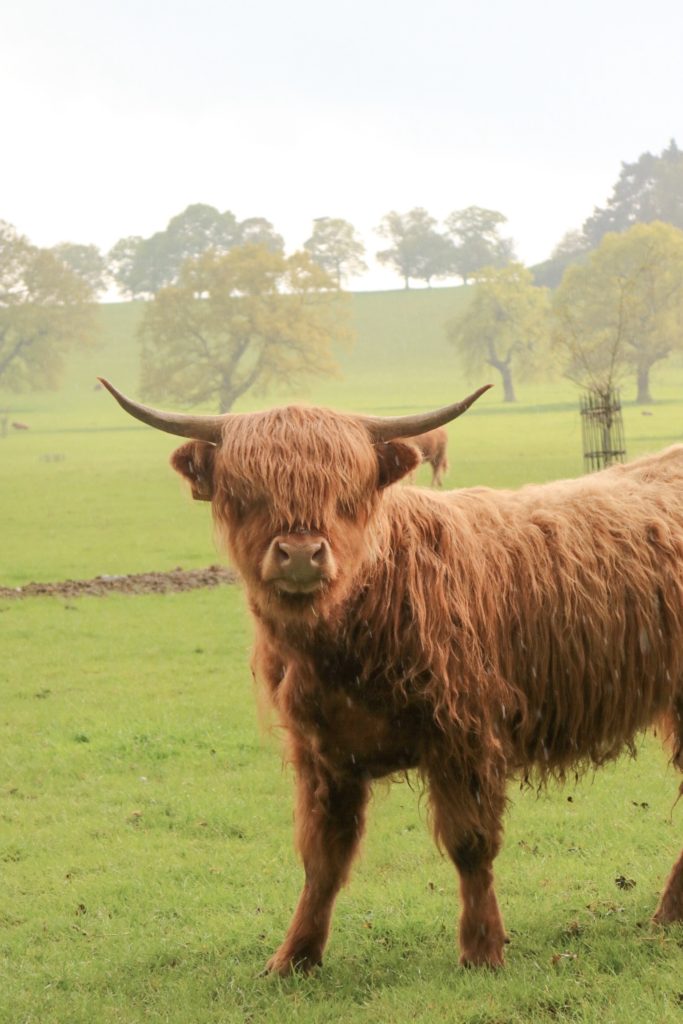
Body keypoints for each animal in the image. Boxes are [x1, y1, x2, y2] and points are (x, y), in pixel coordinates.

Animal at [100, 378, 683, 974]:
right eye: (246, 495)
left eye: (346, 496)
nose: (302, 554)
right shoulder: (322, 753)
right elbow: (323, 858)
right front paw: (293, 957)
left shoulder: (464, 735)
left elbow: (470, 844)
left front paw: (482, 950)